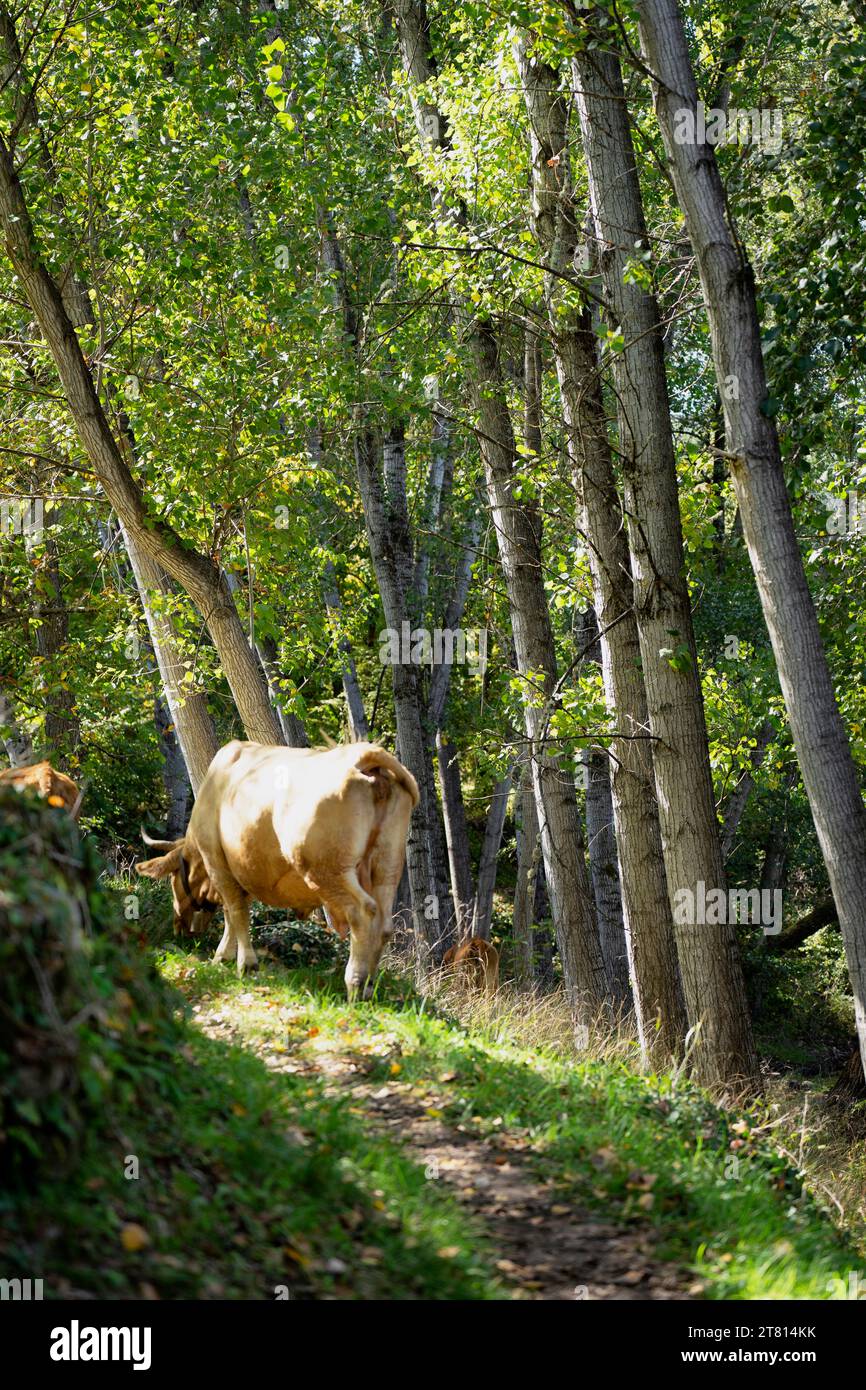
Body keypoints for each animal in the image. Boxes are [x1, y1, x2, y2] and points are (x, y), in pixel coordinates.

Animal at [136, 739, 419, 1000]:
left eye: (173, 879)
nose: (179, 928)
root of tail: (363, 755)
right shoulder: (243, 870)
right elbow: (232, 912)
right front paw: (224, 956)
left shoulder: (218, 863)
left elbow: (236, 912)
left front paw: (244, 964)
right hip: (387, 867)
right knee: (383, 924)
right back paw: (370, 986)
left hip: (326, 869)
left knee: (363, 912)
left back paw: (356, 985)